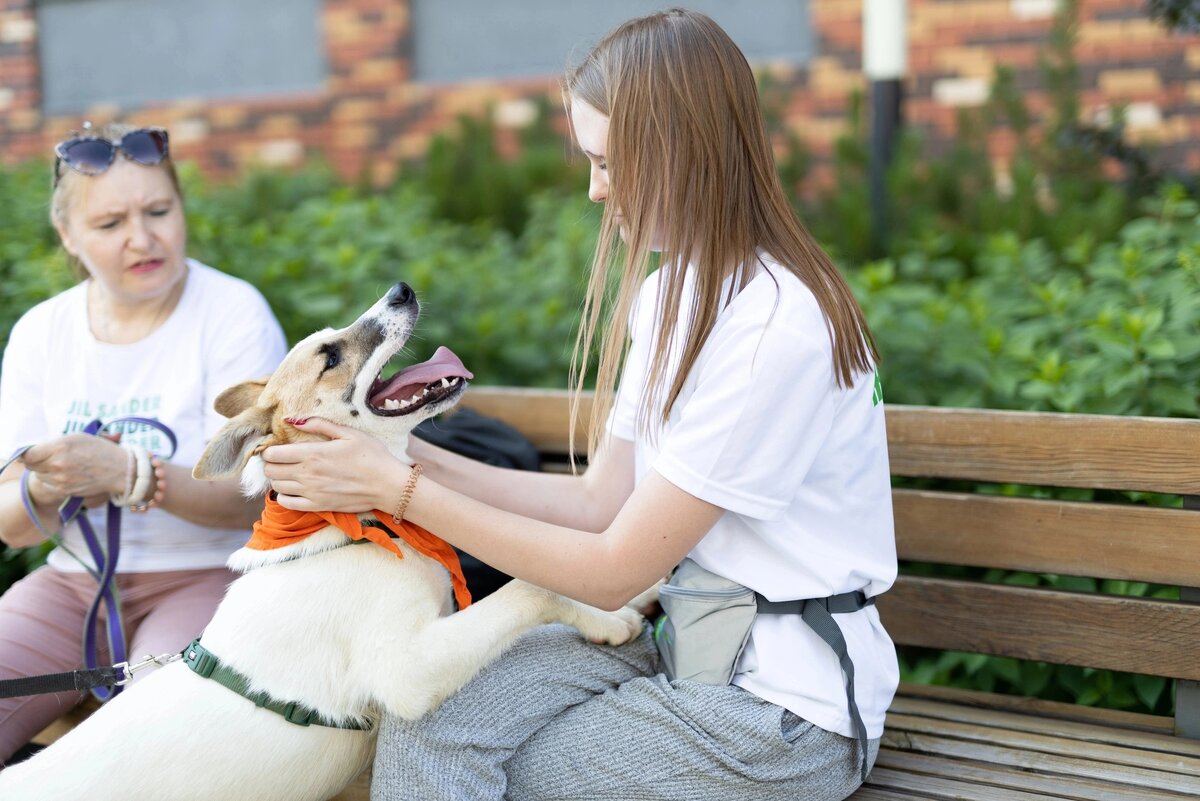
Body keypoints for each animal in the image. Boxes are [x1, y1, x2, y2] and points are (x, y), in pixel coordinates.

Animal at [2, 284, 648, 801]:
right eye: (330, 356)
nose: (402, 288)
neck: (352, 529)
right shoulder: (407, 672)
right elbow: (529, 587)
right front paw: (612, 618)